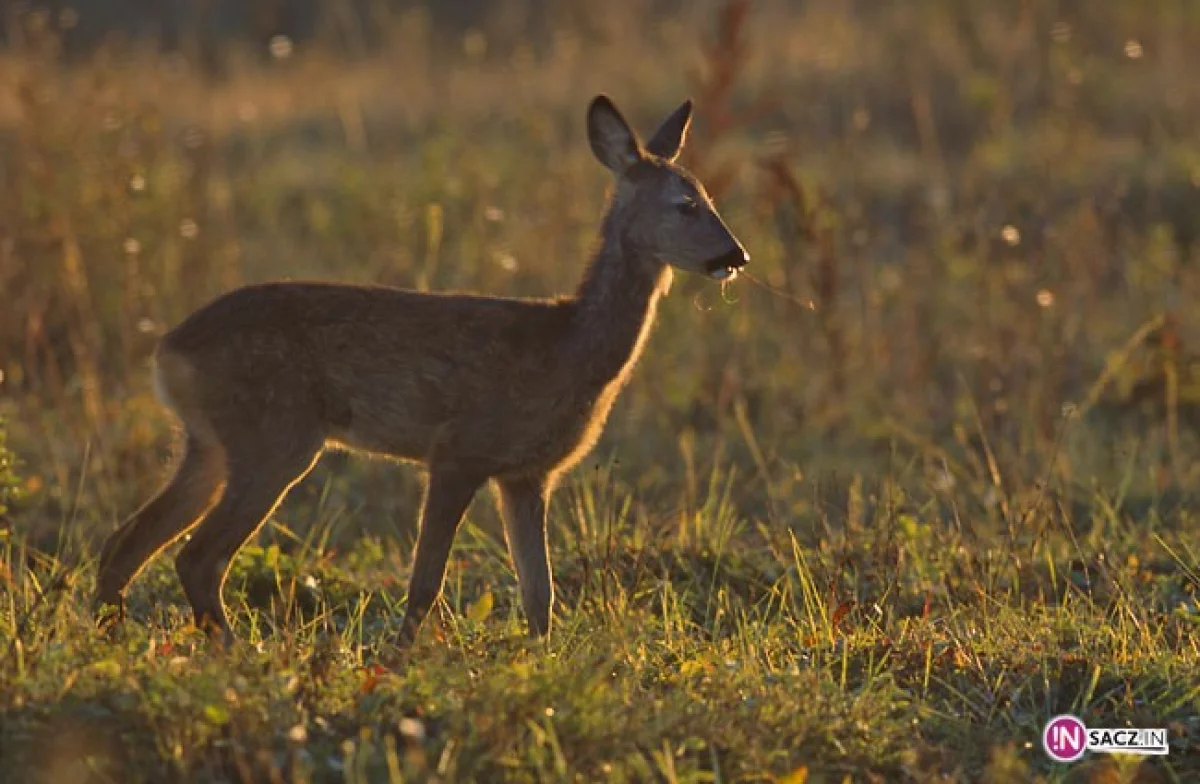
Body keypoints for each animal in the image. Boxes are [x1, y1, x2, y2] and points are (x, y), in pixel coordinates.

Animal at [93, 93, 748, 648]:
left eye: (711, 198)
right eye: (686, 204)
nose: (736, 255)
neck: (569, 346)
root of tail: (168, 352)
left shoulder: (527, 475)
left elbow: (540, 593)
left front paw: (543, 663)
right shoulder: (459, 451)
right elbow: (425, 583)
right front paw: (401, 659)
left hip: (210, 443)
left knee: (127, 540)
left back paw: (112, 638)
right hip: (273, 437)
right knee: (196, 556)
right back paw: (236, 652)